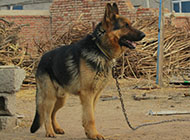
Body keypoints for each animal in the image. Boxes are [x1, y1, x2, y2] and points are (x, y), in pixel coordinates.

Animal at [30, 2, 145, 139]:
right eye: (126, 26)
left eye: (130, 24)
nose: (144, 35)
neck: (100, 49)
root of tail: (41, 59)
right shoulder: (87, 94)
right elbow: (90, 117)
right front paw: (94, 134)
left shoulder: (95, 95)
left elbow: (90, 114)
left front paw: (89, 133)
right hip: (50, 97)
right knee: (46, 114)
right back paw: (50, 132)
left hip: (61, 99)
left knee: (52, 113)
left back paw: (56, 128)